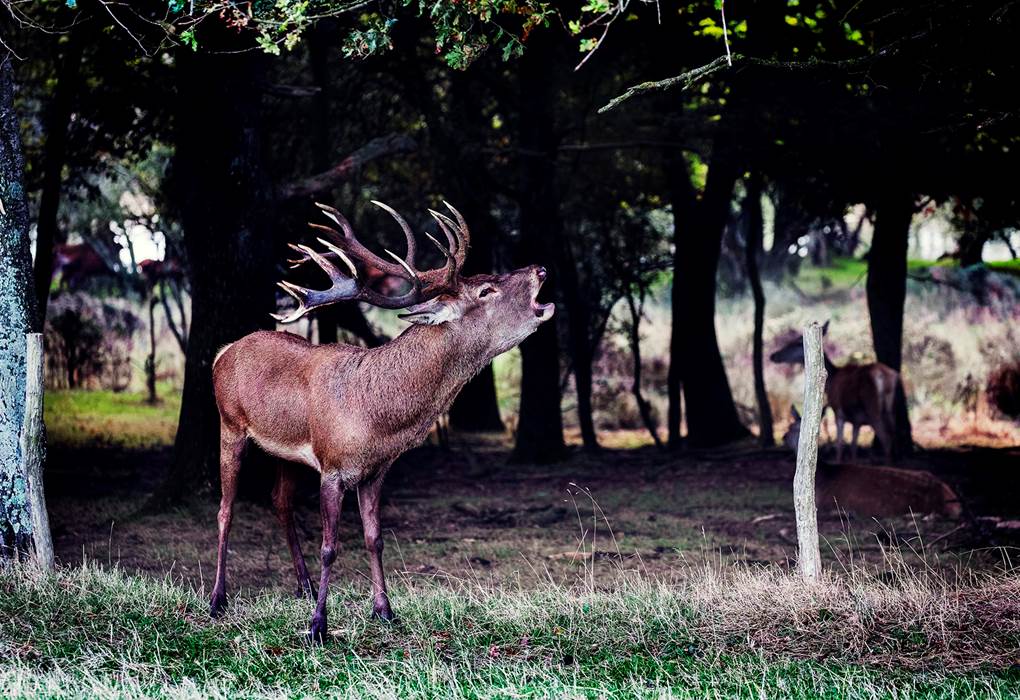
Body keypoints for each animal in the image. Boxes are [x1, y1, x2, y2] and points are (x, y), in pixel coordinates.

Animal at [210, 201, 554, 642]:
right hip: (230, 424)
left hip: (285, 452)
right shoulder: (333, 466)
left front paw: (385, 611)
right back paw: (218, 599)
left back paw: (303, 586)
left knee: (280, 502)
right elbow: (330, 546)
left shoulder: (375, 471)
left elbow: (375, 539)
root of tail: (224, 351)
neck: (376, 416)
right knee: (225, 509)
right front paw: (317, 627)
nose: (540, 268)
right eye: (485, 290)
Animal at [770, 321, 899, 463]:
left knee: (886, 439)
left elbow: (840, 445)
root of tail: (885, 374)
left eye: (797, 342)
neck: (832, 379)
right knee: (892, 433)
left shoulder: (838, 411)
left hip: (872, 408)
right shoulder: (857, 421)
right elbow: (853, 447)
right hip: (889, 410)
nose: (773, 355)